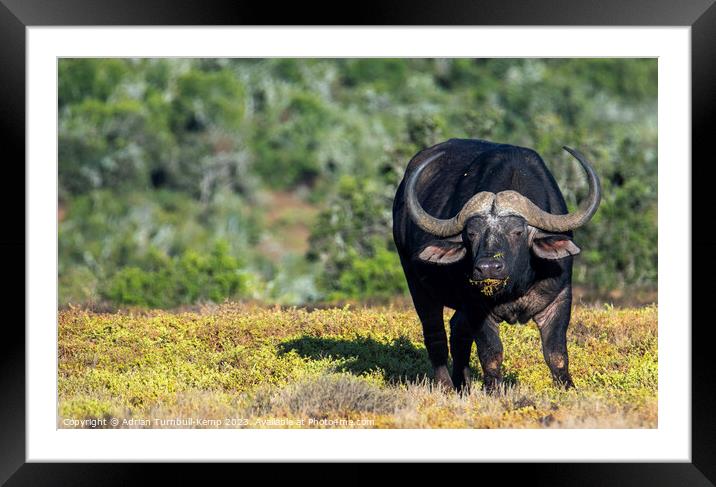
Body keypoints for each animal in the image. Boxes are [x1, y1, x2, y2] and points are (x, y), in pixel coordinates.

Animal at [392, 139, 600, 390]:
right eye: (471, 233)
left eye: (517, 231)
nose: (488, 268)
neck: (516, 286)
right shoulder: (475, 305)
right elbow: (491, 353)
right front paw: (494, 391)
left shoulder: (559, 299)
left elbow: (556, 354)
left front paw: (567, 388)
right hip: (417, 285)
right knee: (435, 335)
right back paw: (446, 386)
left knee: (458, 331)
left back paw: (463, 386)